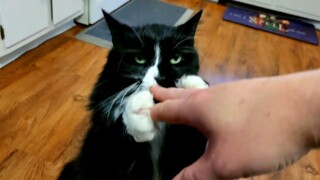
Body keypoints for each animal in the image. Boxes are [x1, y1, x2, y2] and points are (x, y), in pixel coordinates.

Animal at [58, 9, 209, 180]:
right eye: (139, 59)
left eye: (175, 59)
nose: (160, 78)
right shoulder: (103, 143)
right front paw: (139, 111)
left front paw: (193, 90)